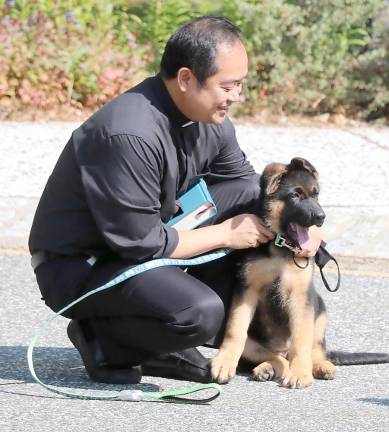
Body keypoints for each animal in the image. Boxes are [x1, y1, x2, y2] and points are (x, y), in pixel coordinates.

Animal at [211, 157, 386, 390]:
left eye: (316, 194)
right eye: (295, 195)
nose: (321, 217)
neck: (281, 246)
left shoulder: (301, 296)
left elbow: (301, 340)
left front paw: (301, 373)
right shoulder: (246, 290)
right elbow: (235, 331)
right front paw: (224, 361)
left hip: (320, 311)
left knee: (315, 350)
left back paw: (320, 366)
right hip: (257, 343)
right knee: (275, 356)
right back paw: (267, 368)